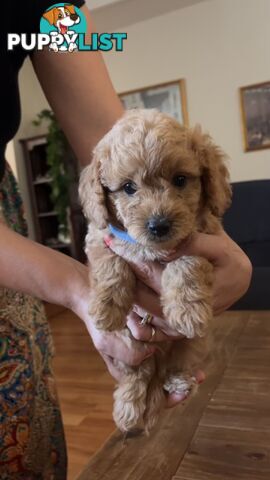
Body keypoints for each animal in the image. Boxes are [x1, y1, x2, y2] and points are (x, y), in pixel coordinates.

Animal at [78, 109, 232, 432]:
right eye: (128, 187)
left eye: (180, 180)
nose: (159, 225)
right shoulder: (100, 237)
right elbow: (110, 264)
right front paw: (106, 308)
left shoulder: (204, 239)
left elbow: (186, 263)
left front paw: (187, 310)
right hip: (130, 346)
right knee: (137, 373)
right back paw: (128, 408)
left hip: (191, 346)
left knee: (176, 364)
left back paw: (179, 381)